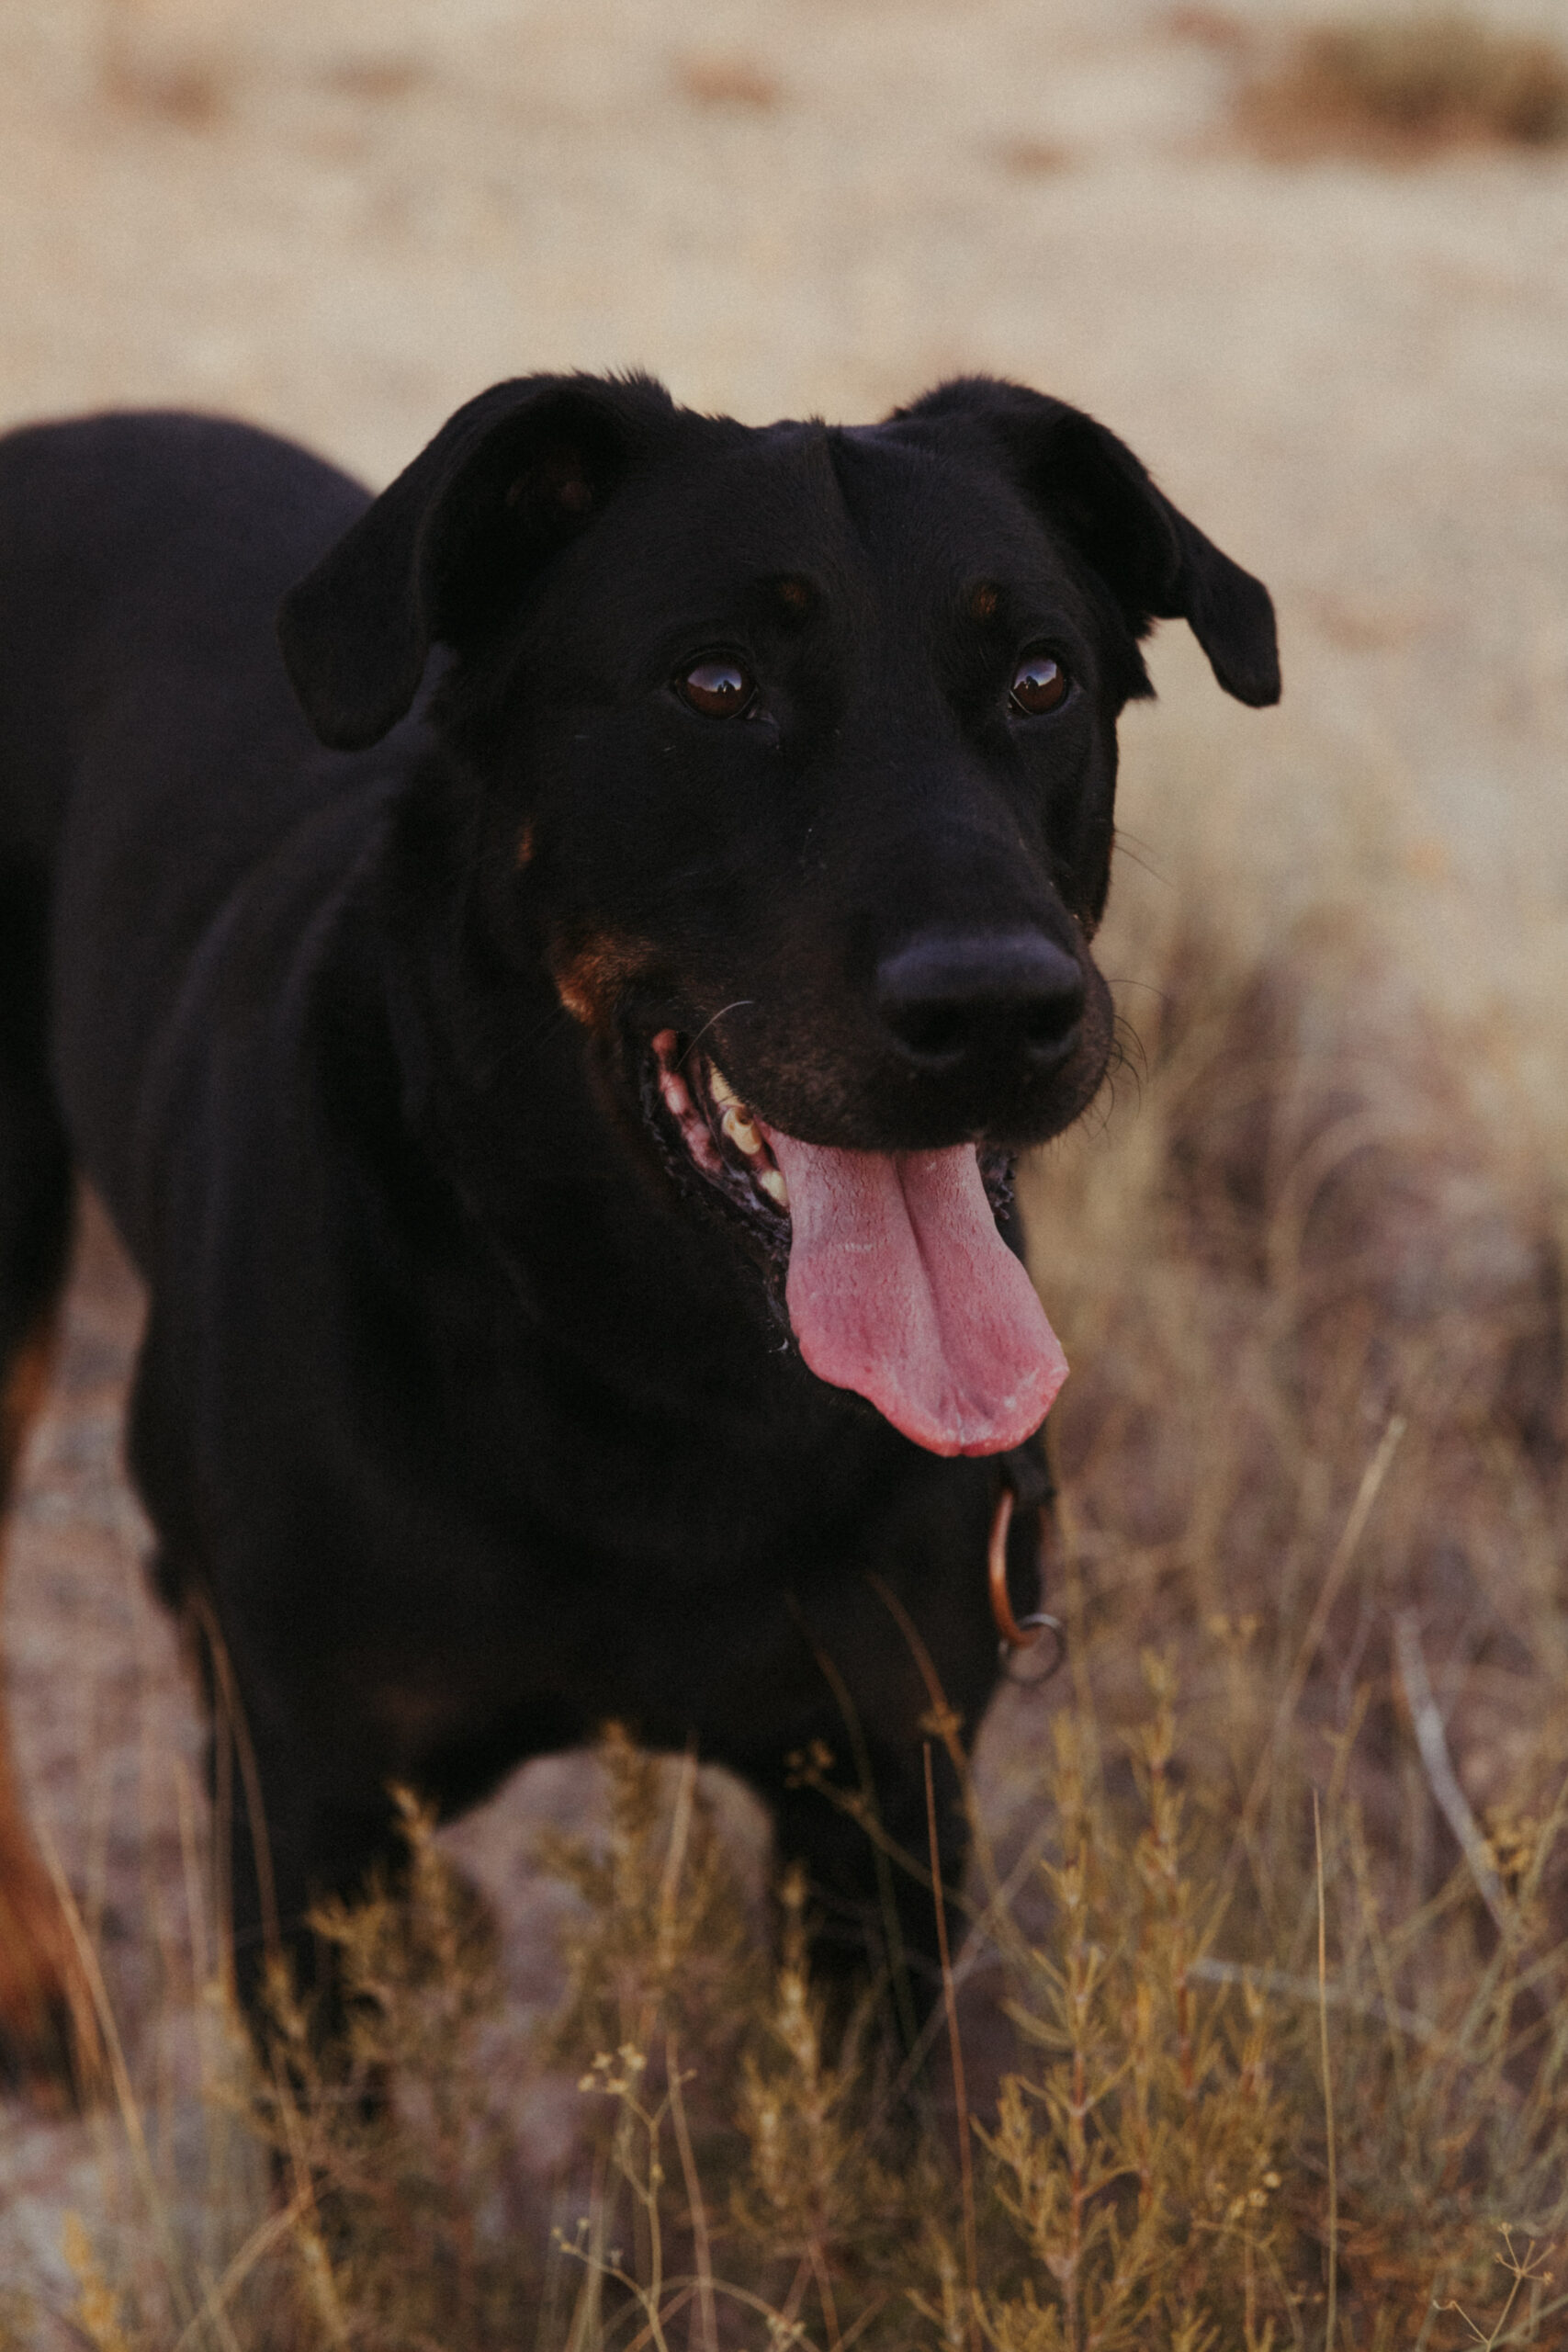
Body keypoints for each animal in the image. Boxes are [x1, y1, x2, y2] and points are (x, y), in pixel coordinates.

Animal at [0, 371, 1279, 2079]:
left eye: (1039, 677)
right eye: (714, 682)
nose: (999, 1007)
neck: (655, 1363)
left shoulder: (885, 1795)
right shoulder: (305, 1802)